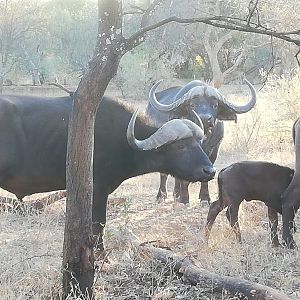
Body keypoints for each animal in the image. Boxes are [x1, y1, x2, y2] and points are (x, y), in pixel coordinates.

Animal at [0, 95, 216, 250]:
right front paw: (100, 252)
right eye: (180, 146)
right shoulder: (98, 188)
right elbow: (99, 225)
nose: (210, 170)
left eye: (199, 142)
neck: (122, 138)